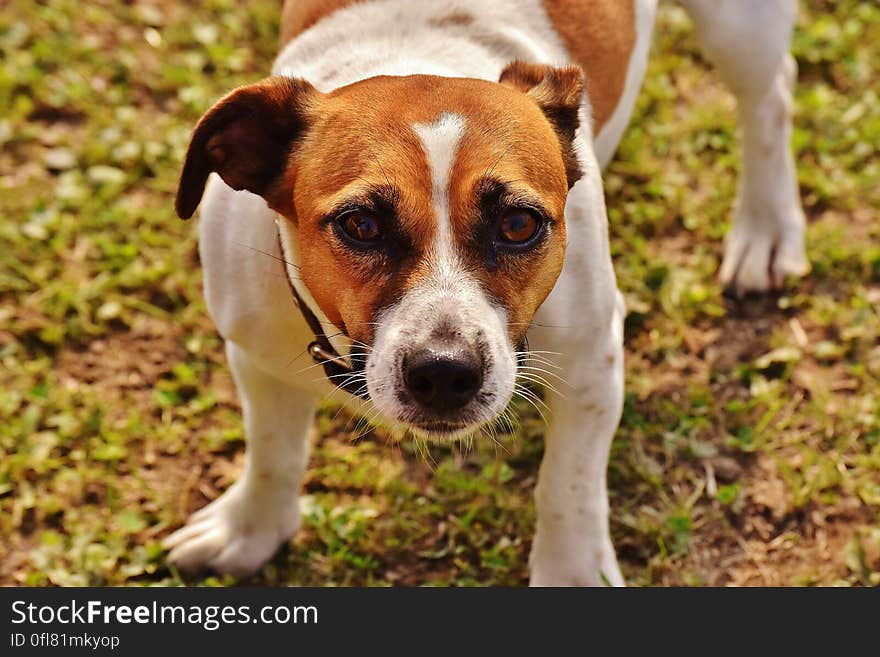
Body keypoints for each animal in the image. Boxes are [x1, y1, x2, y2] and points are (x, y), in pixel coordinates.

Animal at [162, 0, 808, 584]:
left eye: (519, 224)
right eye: (360, 224)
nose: (444, 372)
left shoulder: (591, 363)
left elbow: (569, 488)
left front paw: (572, 574)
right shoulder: (257, 355)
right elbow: (272, 451)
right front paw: (250, 530)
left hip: (740, 29)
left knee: (771, 93)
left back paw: (767, 228)